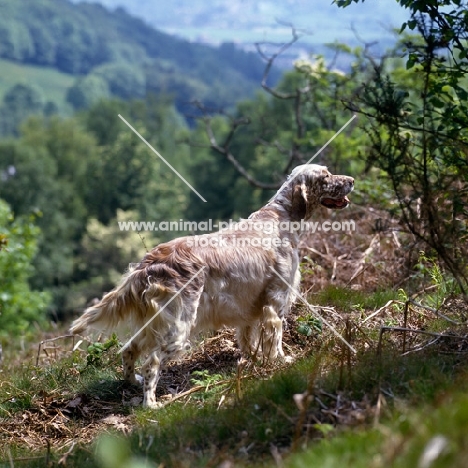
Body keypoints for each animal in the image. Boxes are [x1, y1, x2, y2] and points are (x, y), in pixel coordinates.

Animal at [70, 165, 354, 406]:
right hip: (178, 327)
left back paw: (132, 383)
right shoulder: (276, 302)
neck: (282, 217)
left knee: (128, 351)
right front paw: (281, 360)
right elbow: (275, 340)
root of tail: (150, 263)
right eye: (326, 176)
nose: (351, 180)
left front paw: (252, 362)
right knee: (151, 363)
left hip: (153, 324)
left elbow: (248, 339)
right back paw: (150, 405)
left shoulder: (250, 309)